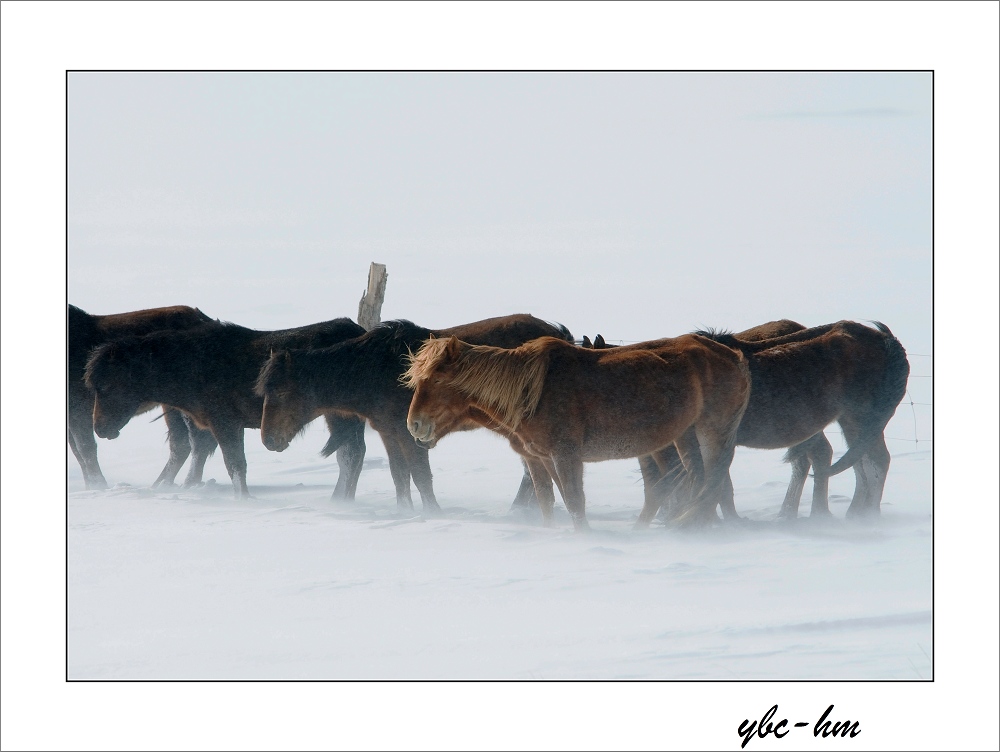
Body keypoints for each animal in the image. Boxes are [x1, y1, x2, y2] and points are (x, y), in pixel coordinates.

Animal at [68, 302, 221, 490]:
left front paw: (99, 485)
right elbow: (78, 452)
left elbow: (85, 450)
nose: (101, 429)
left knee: (195, 443)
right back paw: (162, 485)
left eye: (106, 386)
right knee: (182, 445)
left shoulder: (78, 411)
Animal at [82, 318, 370, 500]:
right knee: (351, 455)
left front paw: (243, 498)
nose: (100, 428)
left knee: (350, 456)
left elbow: (234, 464)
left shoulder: (225, 421)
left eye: (106, 385)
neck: (187, 370)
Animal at [254, 314, 576, 516]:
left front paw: (433, 514)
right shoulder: (390, 433)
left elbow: (421, 477)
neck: (374, 369)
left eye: (281, 392)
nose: (269, 440)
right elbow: (400, 477)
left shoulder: (411, 434)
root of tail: (559, 335)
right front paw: (405, 511)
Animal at [402, 332, 752, 532]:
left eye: (436, 379)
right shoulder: (540, 458)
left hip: (711, 432)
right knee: (695, 482)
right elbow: (549, 499)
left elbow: (574, 501)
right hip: (682, 437)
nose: (413, 425)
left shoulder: (566, 456)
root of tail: (734, 356)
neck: (532, 391)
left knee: (708, 482)